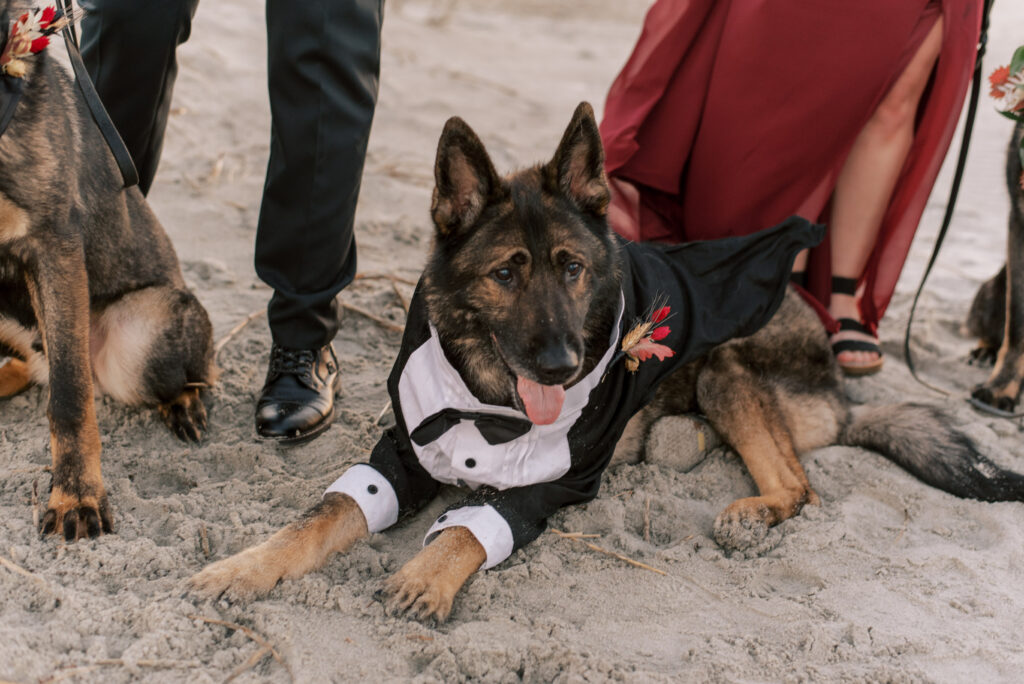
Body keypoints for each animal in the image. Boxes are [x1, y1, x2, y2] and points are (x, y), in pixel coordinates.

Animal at [0, 3, 214, 540]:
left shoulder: (53, 248)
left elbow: (70, 398)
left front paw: (76, 497)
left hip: (141, 331)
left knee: (193, 372)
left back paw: (184, 403)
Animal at [188, 104, 1019, 622]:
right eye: (507, 273)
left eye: (573, 269)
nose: (563, 365)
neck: (487, 401)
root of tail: (838, 380)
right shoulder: (400, 453)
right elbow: (324, 514)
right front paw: (244, 567)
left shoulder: (553, 485)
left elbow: (465, 530)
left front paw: (423, 576)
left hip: (725, 368)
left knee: (800, 483)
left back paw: (752, 507)